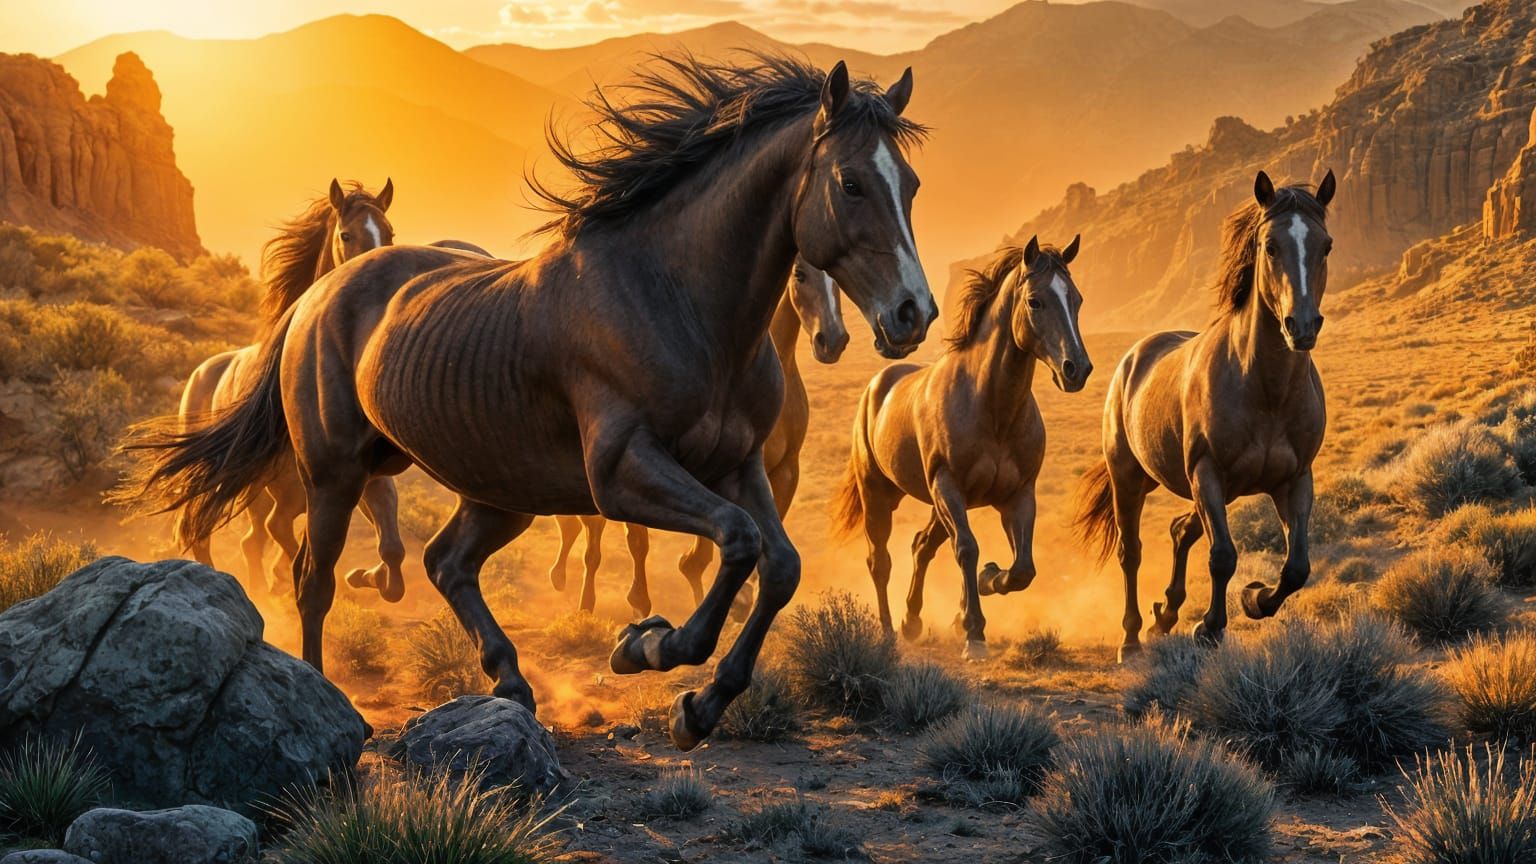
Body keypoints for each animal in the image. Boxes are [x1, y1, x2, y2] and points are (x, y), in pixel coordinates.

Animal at [173, 179, 406, 600]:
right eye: (346, 235)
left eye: (390, 233)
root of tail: (201, 372)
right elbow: (290, 544)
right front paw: (290, 581)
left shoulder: (361, 478)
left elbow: (392, 552)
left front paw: (365, 576)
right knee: (205, 532)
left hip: (261, 493)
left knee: (251, 539)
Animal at [547, 255, 849, 619]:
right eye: (799, 275)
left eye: (839, 277)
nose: (832, 341)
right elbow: (689, 554)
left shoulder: (785, 471)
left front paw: (742, 596)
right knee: (606, 535)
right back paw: (596, 598)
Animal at [833, 236, 1091, 659]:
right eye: (1035, 301)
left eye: (1077, 299)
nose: (1077, 369)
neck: (991, 406)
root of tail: (878, 385)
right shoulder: (948, 486)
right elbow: (967, 549)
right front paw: (973, 632)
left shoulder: (1018, 495)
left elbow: (1023, 568)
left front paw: (988, 581)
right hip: (881, 495)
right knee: (880, 560)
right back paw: (887, 631)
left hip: (938, 504)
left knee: (922, 546)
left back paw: (912, 621)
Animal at [1073, 170, 1334, 661]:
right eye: (1270, 246)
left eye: (1325, 245)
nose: (1302, 326)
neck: (1265, 390)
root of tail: (1135, 356)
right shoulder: (1207, 473)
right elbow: (1223, 557)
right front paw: (1209, 628)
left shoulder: (1294, 480)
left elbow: (1297, 567)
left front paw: (1254, 599)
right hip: (1131, 477)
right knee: (1132, 552)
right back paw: (1132, 638)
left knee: (1181, 531)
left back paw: (1166, 614)